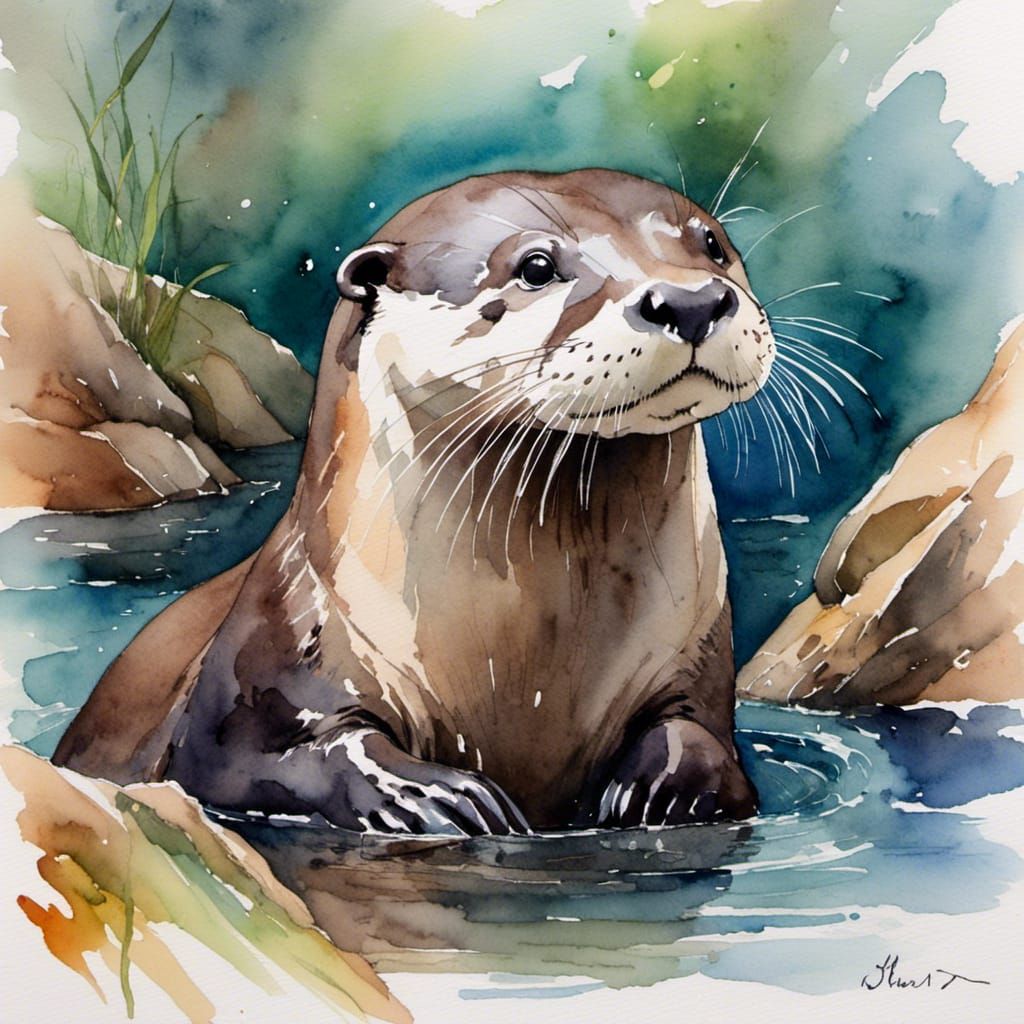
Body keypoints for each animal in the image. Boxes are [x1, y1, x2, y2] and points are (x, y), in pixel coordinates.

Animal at [55, 169, 775, 835]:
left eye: (711, 244)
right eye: (536, 266)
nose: (691, 300)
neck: (529, 669)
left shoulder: (698, 657)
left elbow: (704, 736)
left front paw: (663, 787)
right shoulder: (263, 666)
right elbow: (259, 762)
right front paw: (435, 796)